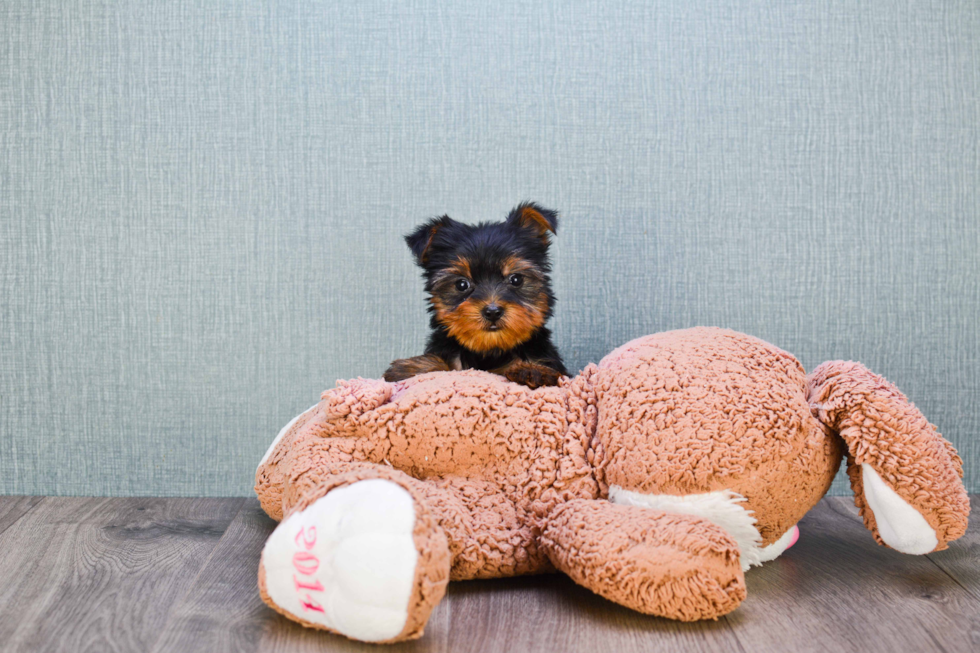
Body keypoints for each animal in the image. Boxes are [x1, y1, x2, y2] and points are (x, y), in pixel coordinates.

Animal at [382, 202, 568, 388]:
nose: (492, 311)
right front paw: (413, 366)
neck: (489, 350)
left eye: (516, 279)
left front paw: (533, 370)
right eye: (461, 284)